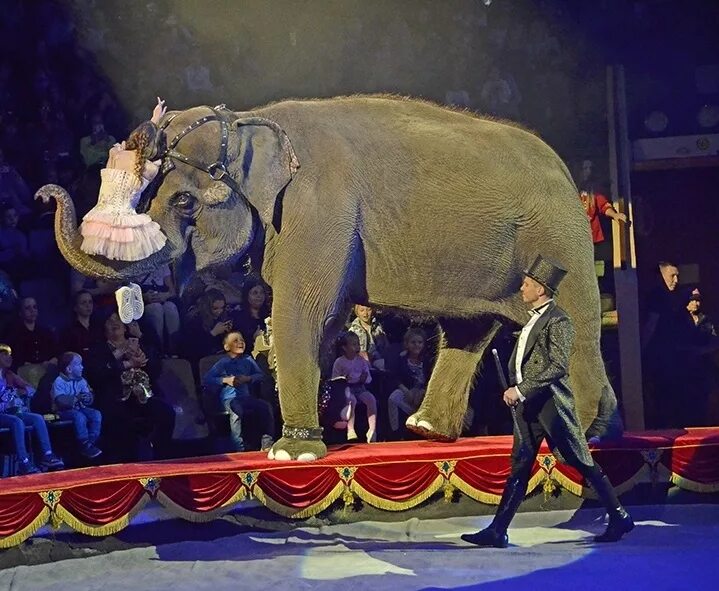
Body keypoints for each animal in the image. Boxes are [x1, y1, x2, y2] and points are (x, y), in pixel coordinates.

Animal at [38, 95, 620, 462]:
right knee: (467, 329)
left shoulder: (316, 211)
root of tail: (565, 172)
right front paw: (310, 438)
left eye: (183, 201)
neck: (250, 123)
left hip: (557, 238)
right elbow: (326, 317)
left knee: (576, 322)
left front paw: (289, 451)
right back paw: (426, 431)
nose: (45, 194)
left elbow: (303, 309)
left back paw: (589, 432)